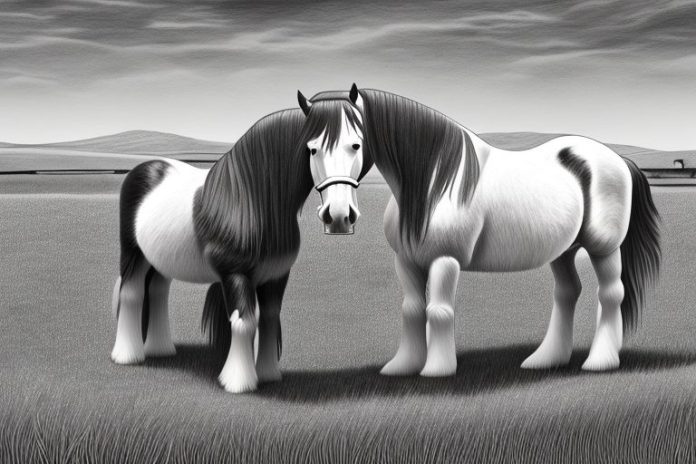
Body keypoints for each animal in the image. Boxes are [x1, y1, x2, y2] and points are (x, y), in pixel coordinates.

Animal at [111, 102, 371, 393]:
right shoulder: (235, 275)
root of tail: (144, 169)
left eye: (356, 144)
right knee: (131, 293)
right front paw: (239, 381)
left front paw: (268, 375)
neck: (250, 201)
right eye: (313, 149)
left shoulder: (276, 275)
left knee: (157, 292)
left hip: (162, 258)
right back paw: (128, 355)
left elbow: (269, 319)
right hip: (134, 253)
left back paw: (160, 349)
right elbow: (245, 322)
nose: (339, 215)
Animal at [308, 84, 660, 377]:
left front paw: (437, 370)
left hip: (604, 248)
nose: (338, 217)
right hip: (563, 249)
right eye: (312, 148)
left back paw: (601, 361)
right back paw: (547, 359)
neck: (434, 181)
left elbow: (438, 311)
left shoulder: (445, 260)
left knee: (611, 294)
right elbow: (412, 309)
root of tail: (617, 159)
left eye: (356, 145)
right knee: (567, 293)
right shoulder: (406, 260)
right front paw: (403, 366)